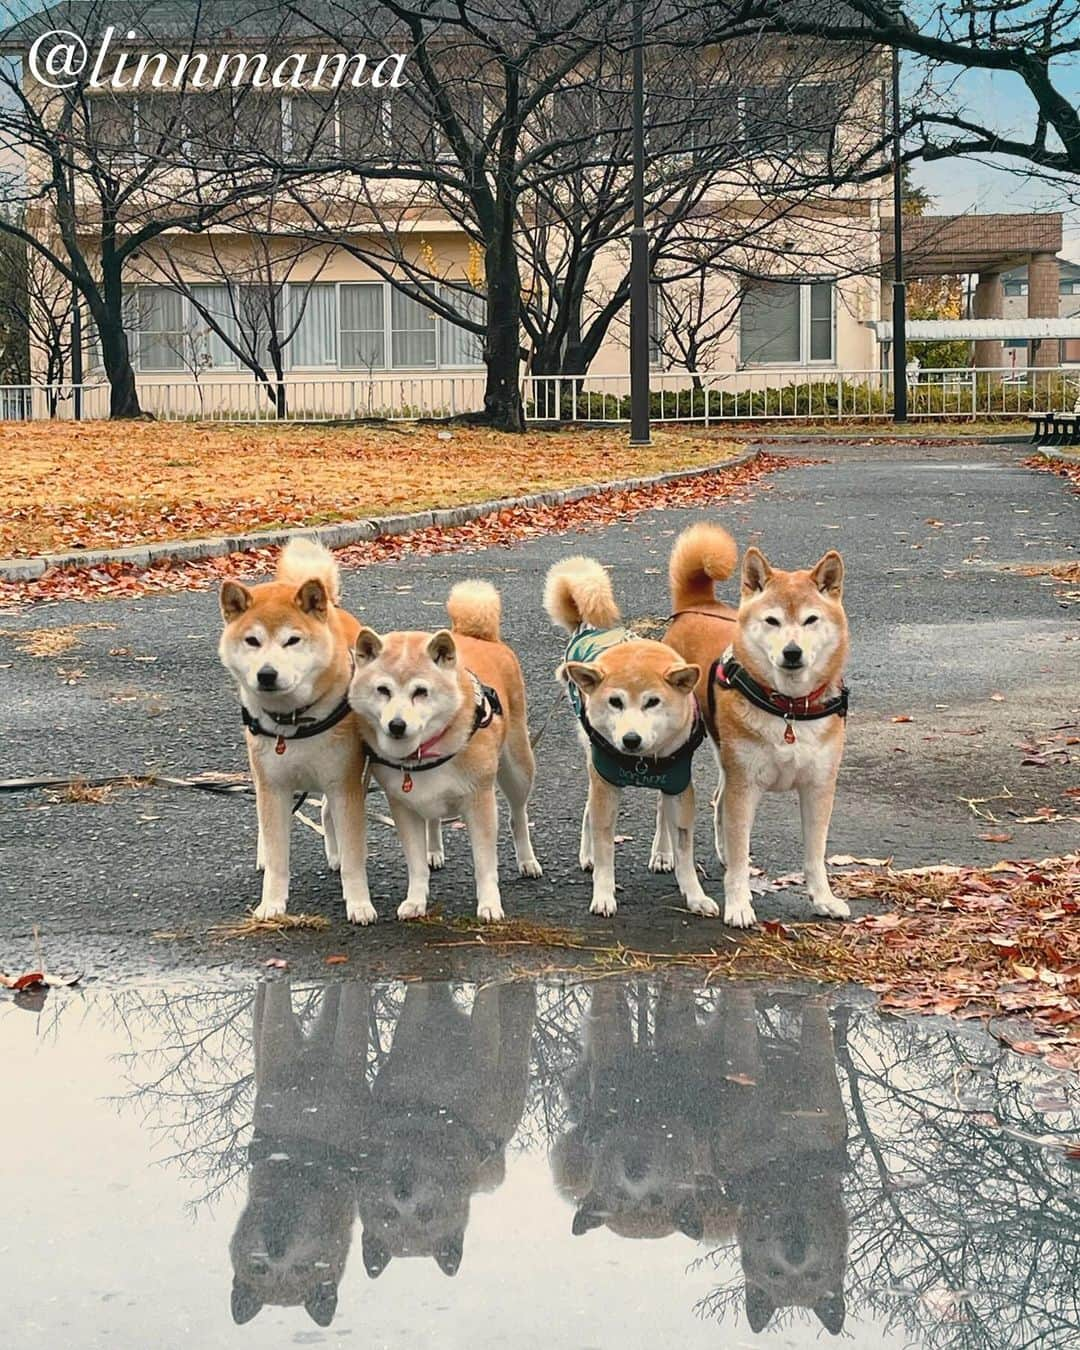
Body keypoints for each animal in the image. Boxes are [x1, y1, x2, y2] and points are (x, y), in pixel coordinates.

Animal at [217, 540, 372, 928]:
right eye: (252, 641)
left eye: (292, 641)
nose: (267, 674)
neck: (294, 720)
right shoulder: (273, 786)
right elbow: (277, 857)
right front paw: (271, 905)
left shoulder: (345, 783)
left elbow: (354, 858)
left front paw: (359, 903)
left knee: (327, 812)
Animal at [228, 977, 372, 1323]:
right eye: (259, 1268)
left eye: (302, 1269)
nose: (276, 1248)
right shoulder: (275, 1044)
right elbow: (275, 1014)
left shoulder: (348, 1049)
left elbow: (352, 1007)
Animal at [359, 982, 534, 1274]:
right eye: (388, 1215)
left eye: (426, 1214)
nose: (402, 1192)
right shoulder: (410, 1030)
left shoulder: (482, 1054)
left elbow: (485, 1007)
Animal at [540, 550, 718, 918]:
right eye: (615, 702)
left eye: (653, 702)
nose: (630, 740)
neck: (643, 762)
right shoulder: (605, 784)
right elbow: (605, 848)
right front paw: (603, 893)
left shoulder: (679, 783)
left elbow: (684, 850)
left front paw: (694, 894)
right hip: (593, 765)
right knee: (588, 810)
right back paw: (588, 855)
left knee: (661, 811)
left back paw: (661, 853)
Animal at [666, 523, 853, 928]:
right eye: (772, 621)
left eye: (810, 620)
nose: (792, 652)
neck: (788, 709)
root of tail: (699, 605)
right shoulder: (746, 786)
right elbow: (740, 859)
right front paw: (738, 904)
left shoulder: (818, 786)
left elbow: (815, 855)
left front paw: (823, 899)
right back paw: (665, 854)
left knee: (718, 800)